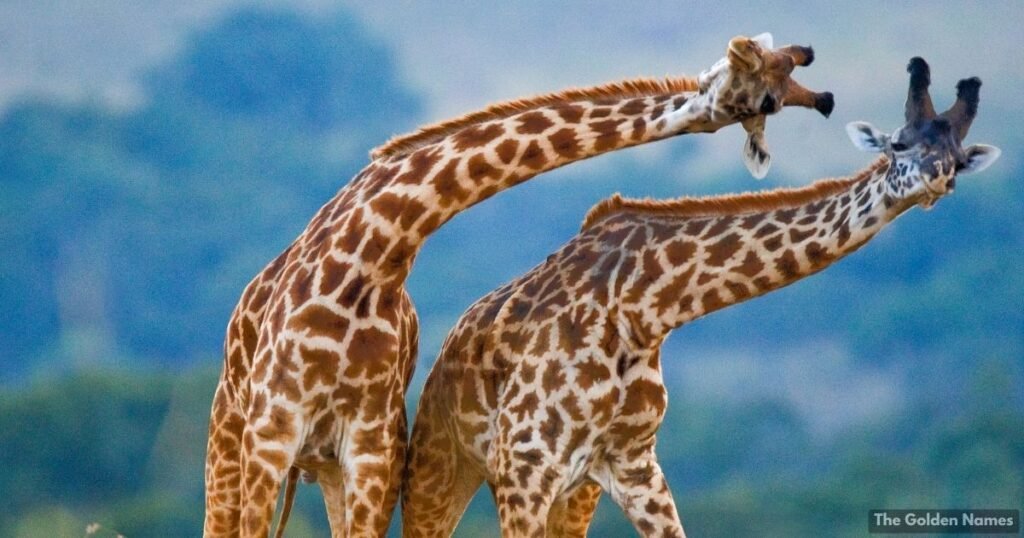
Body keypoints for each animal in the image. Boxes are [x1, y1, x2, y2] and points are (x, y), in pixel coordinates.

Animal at [201, 33, 834, 538]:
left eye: (793, 75)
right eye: (769, 92)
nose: (825, 100)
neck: (373, 256)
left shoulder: (369, 447)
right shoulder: (271, 431)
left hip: (333, 466)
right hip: (230, 442)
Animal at [403, 57, 1000, 537]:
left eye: (956, 162)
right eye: (898, 144)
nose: (934, 179)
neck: (646, 306)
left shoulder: (631, 464)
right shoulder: (525, 465)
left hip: (573, 491)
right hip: (442, 464)